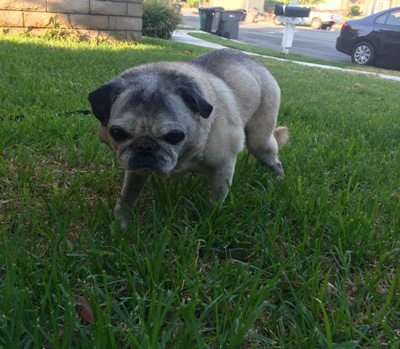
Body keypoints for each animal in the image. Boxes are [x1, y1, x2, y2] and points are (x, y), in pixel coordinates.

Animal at [88, 49, 288, 227]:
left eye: (174, 136)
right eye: (117, 133)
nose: (144, 145)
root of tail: (258, 64)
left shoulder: (222, 170)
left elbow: (215, 201)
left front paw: (207, 222)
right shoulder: (136, 170)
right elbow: (128, 194)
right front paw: (121, 220)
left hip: (260, 141)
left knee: (273, 158)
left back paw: (280, 180)